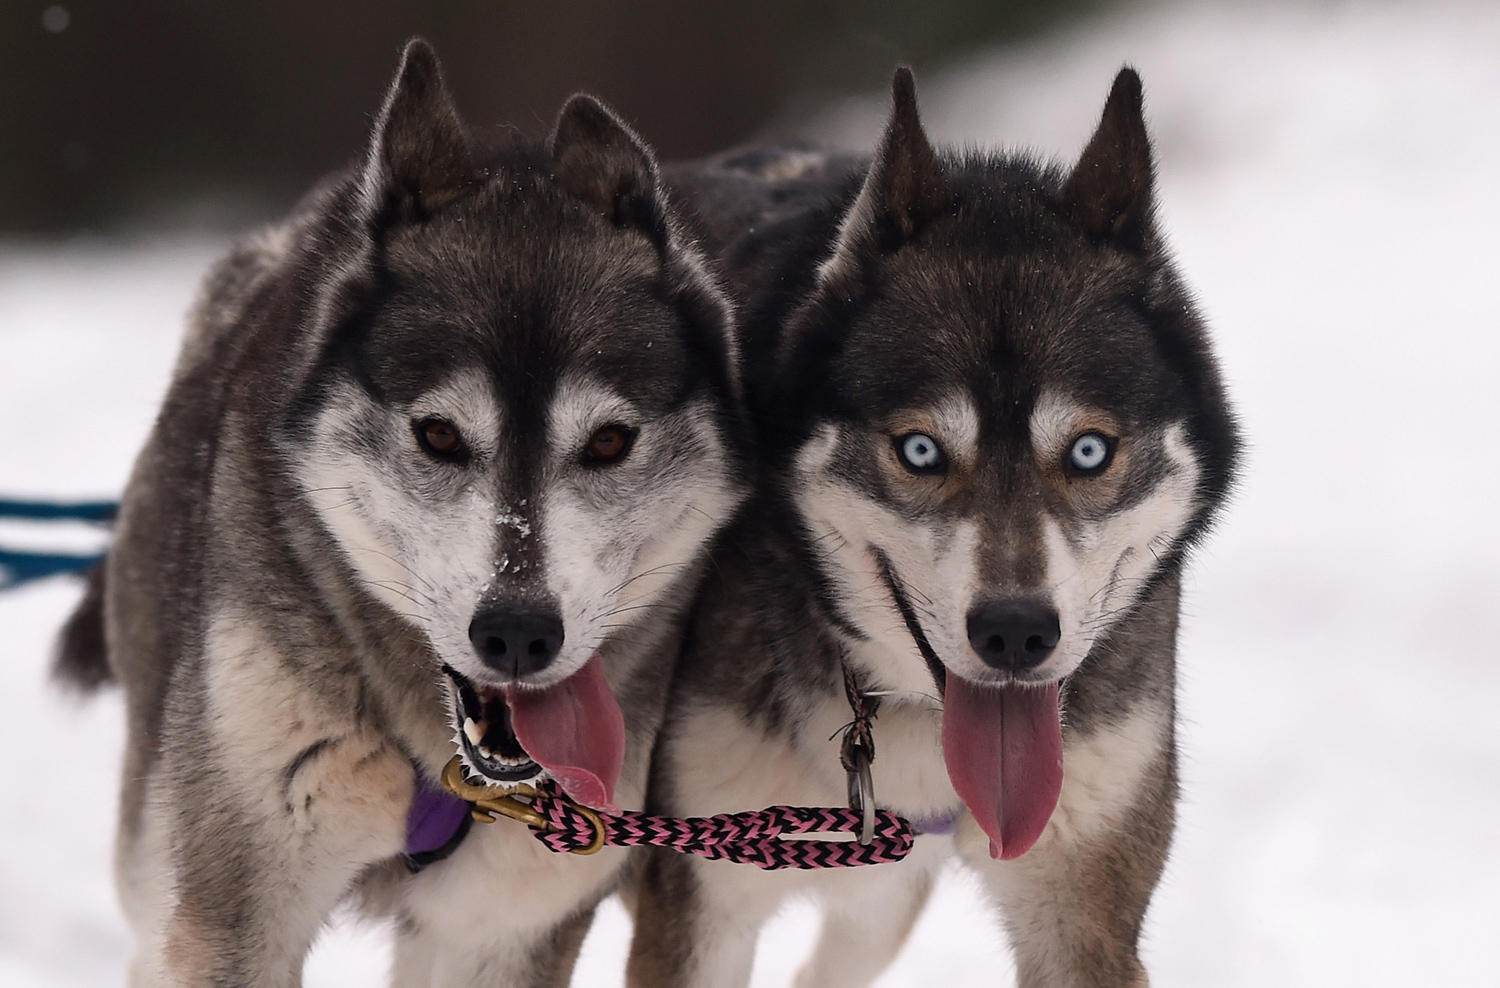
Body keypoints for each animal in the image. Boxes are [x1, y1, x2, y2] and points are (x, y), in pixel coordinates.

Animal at [57, 40, 744, 988]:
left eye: (608, 442)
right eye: (439, 433)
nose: (519, 633)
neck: (443, 761)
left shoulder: (499, 929)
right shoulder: (238, 913)